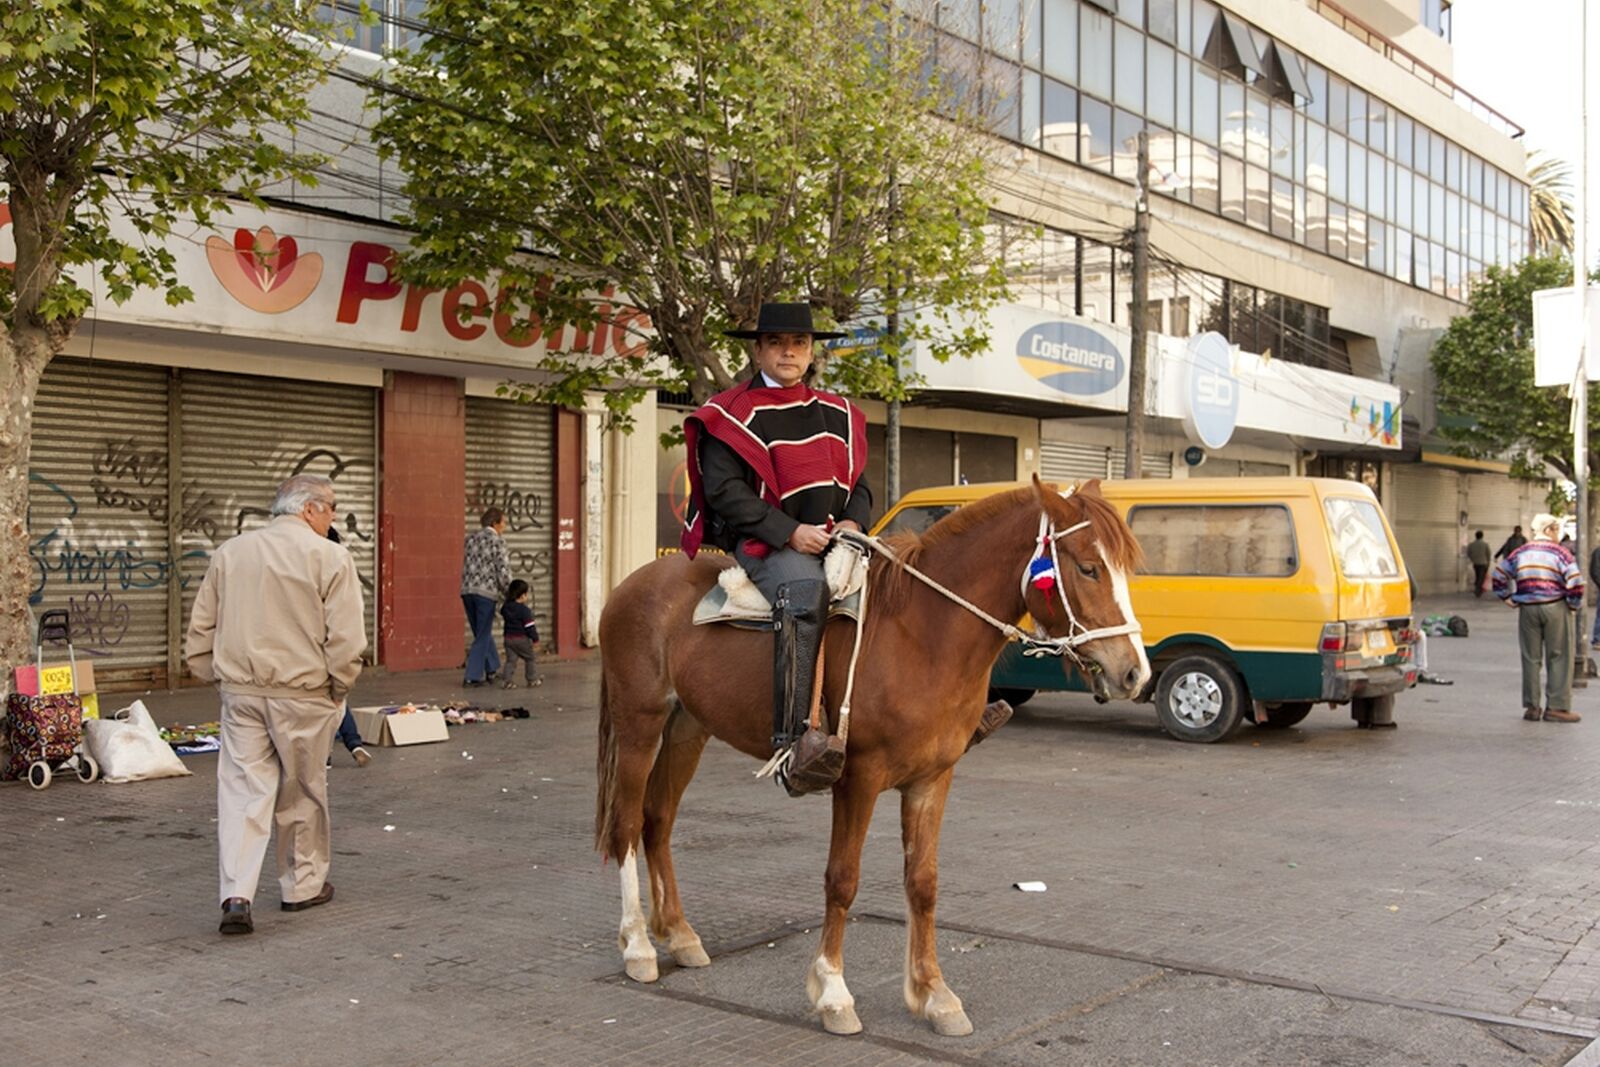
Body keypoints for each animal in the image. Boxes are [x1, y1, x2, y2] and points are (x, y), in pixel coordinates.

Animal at [595, 479, 1145, 1036]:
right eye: (1088, 568)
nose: (1133, 672)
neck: (922, 635)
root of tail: (633, 584)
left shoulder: (932, 780)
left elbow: (923, 883)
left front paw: (935, 994)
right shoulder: (858, 778)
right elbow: (843, 879)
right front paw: (833, 992)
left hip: (687, 730)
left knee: (658, 822)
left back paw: (679, 934)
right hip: (640, 724)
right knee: (626, 825)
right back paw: (638, 945)